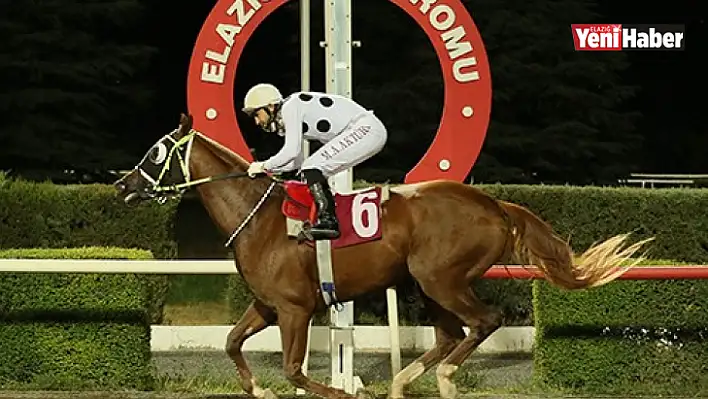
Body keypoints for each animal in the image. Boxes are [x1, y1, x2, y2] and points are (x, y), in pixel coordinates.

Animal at [115, 113, 652, 399]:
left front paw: (339, 390)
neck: (260, 217)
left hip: (441, 279)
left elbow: (294, 370)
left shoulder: (294, 309)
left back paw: (444, 376)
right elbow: (230, 343)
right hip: (426, 284)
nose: (123, 185)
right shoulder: (267, 305)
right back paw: (406, 380)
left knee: (484, 322)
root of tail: (495, 204)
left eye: (156, 151)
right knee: (450, 334)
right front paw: (259, 388)